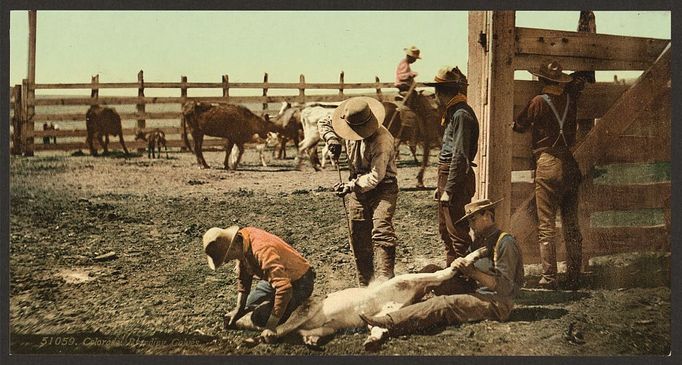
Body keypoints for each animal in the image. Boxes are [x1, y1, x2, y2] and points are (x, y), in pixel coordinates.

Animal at [231, 246, 486, 348]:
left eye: (253, 310)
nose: (230, 320)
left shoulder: (308, 308)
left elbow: (283, 327)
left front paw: (262, 337)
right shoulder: (319, 325)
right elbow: (307, 333)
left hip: (406, 282)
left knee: (443, 273)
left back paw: (476, 254)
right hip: (387, 308)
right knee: (380, 327)